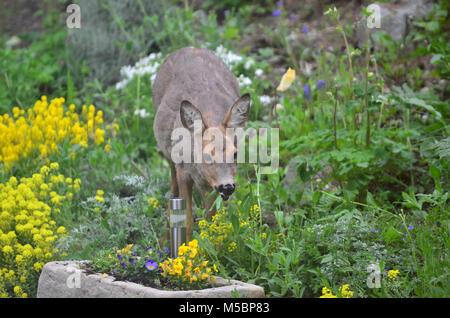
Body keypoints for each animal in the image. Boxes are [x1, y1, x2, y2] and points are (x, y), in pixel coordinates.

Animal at [153, 47, 251, 241]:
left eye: (235, 153)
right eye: (207, 155)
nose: (227, 186)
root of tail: (189, 48)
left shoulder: (210, 185)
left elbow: (212, 220)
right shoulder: (184, 171)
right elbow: (188, 220)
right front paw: (185, 246)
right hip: (169, 153)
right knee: (172, 181)